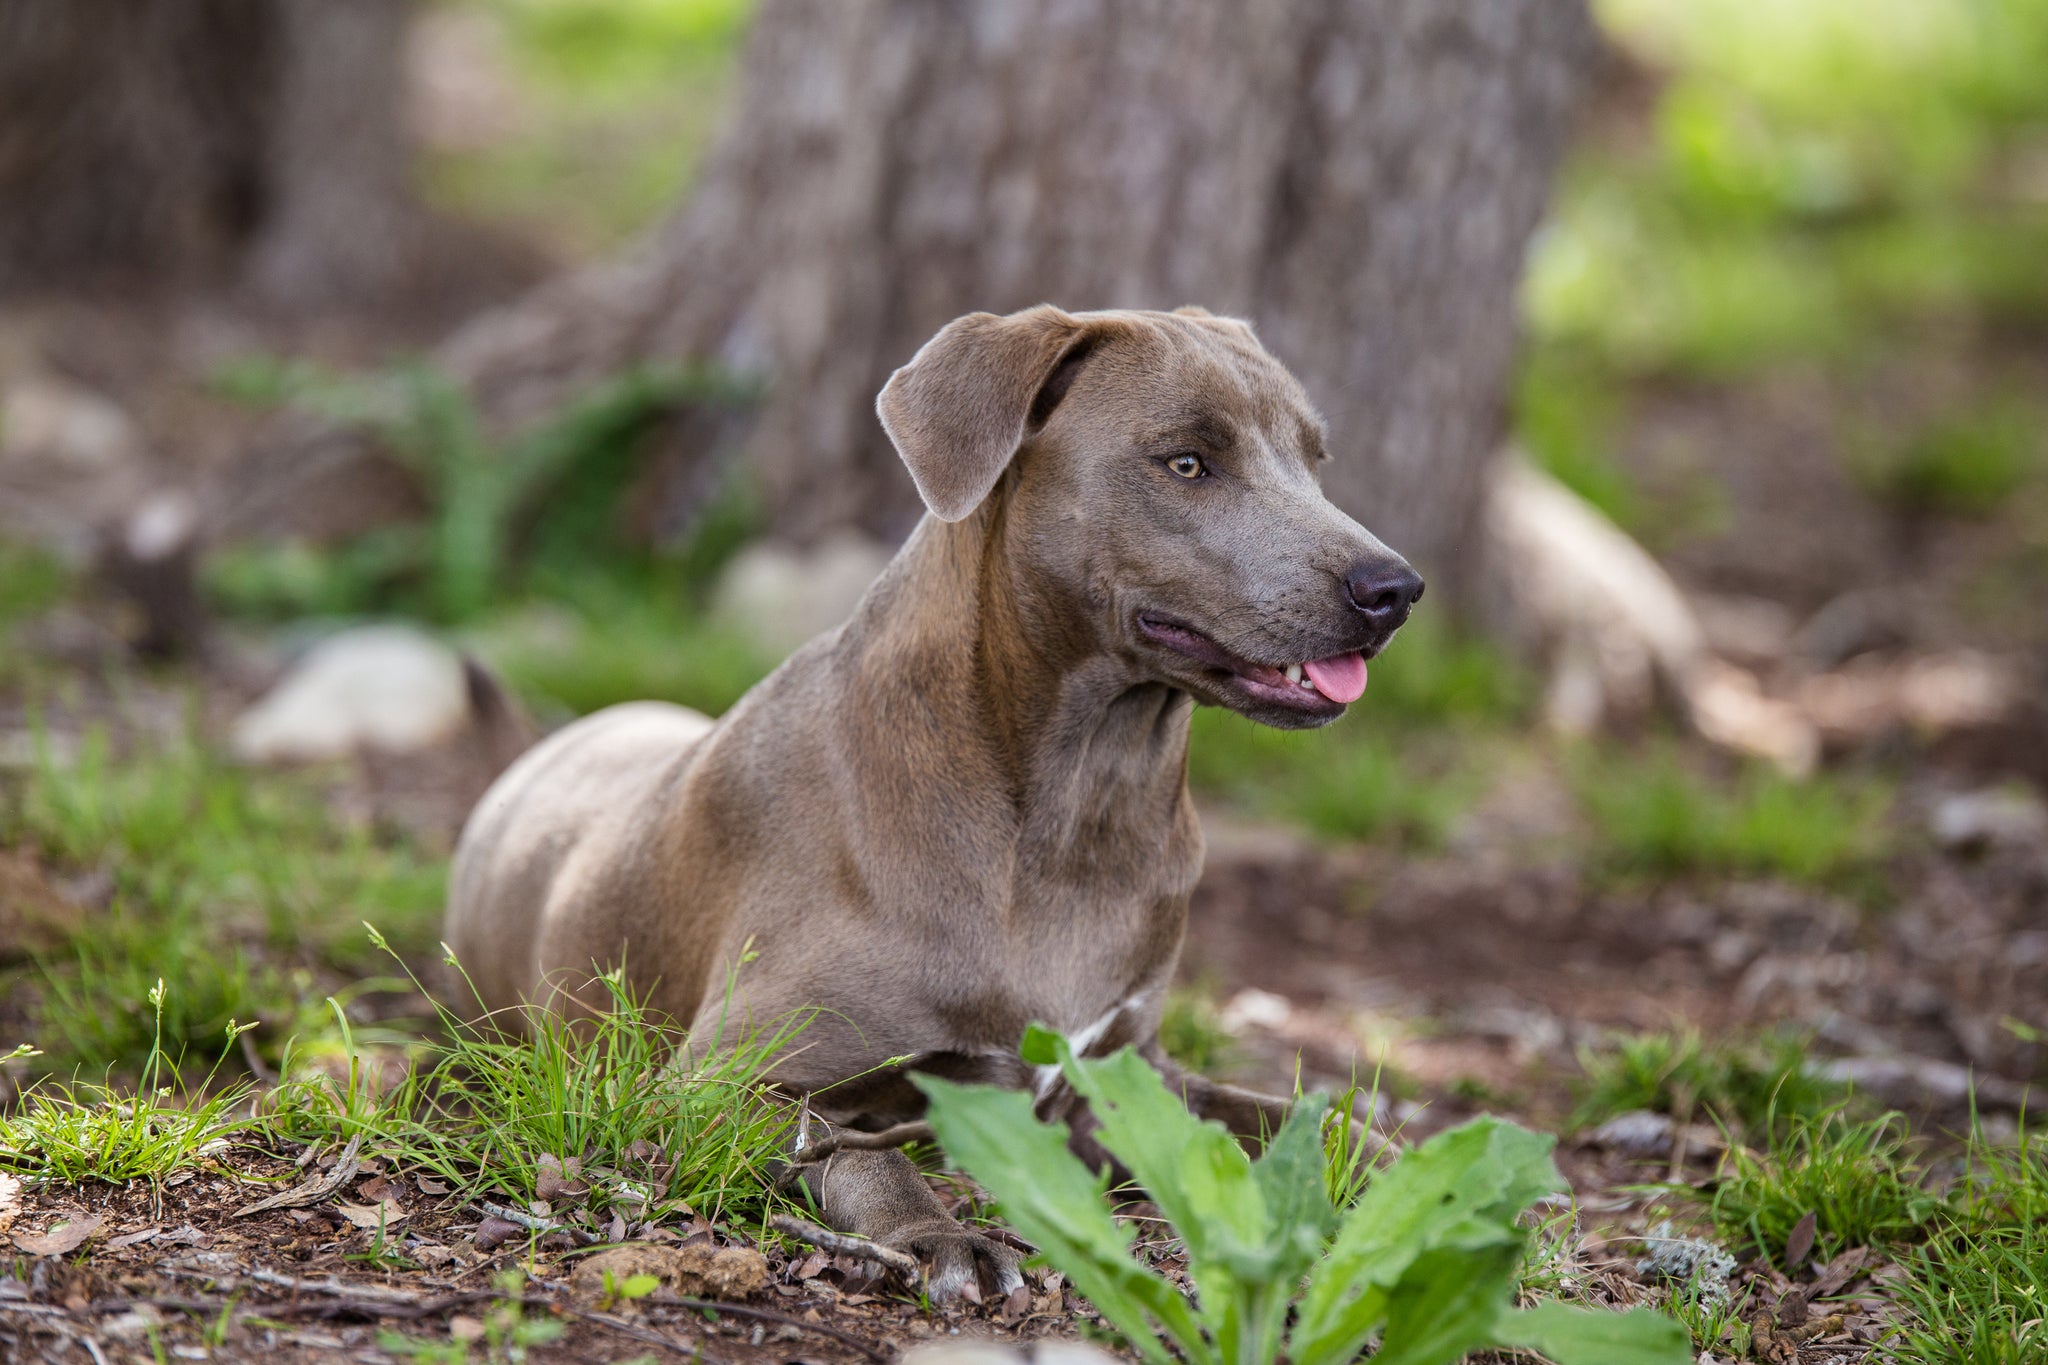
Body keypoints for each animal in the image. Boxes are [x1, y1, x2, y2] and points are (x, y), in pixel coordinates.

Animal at [440, 306, 1417, 1301]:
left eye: (1314, 456)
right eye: (1187, 461)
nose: (1393, 588)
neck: (1074, 808)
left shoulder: (1125, 1076)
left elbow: (1312, 1121)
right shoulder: (721, 1080)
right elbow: (851, 1146)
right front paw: (935, 1232)